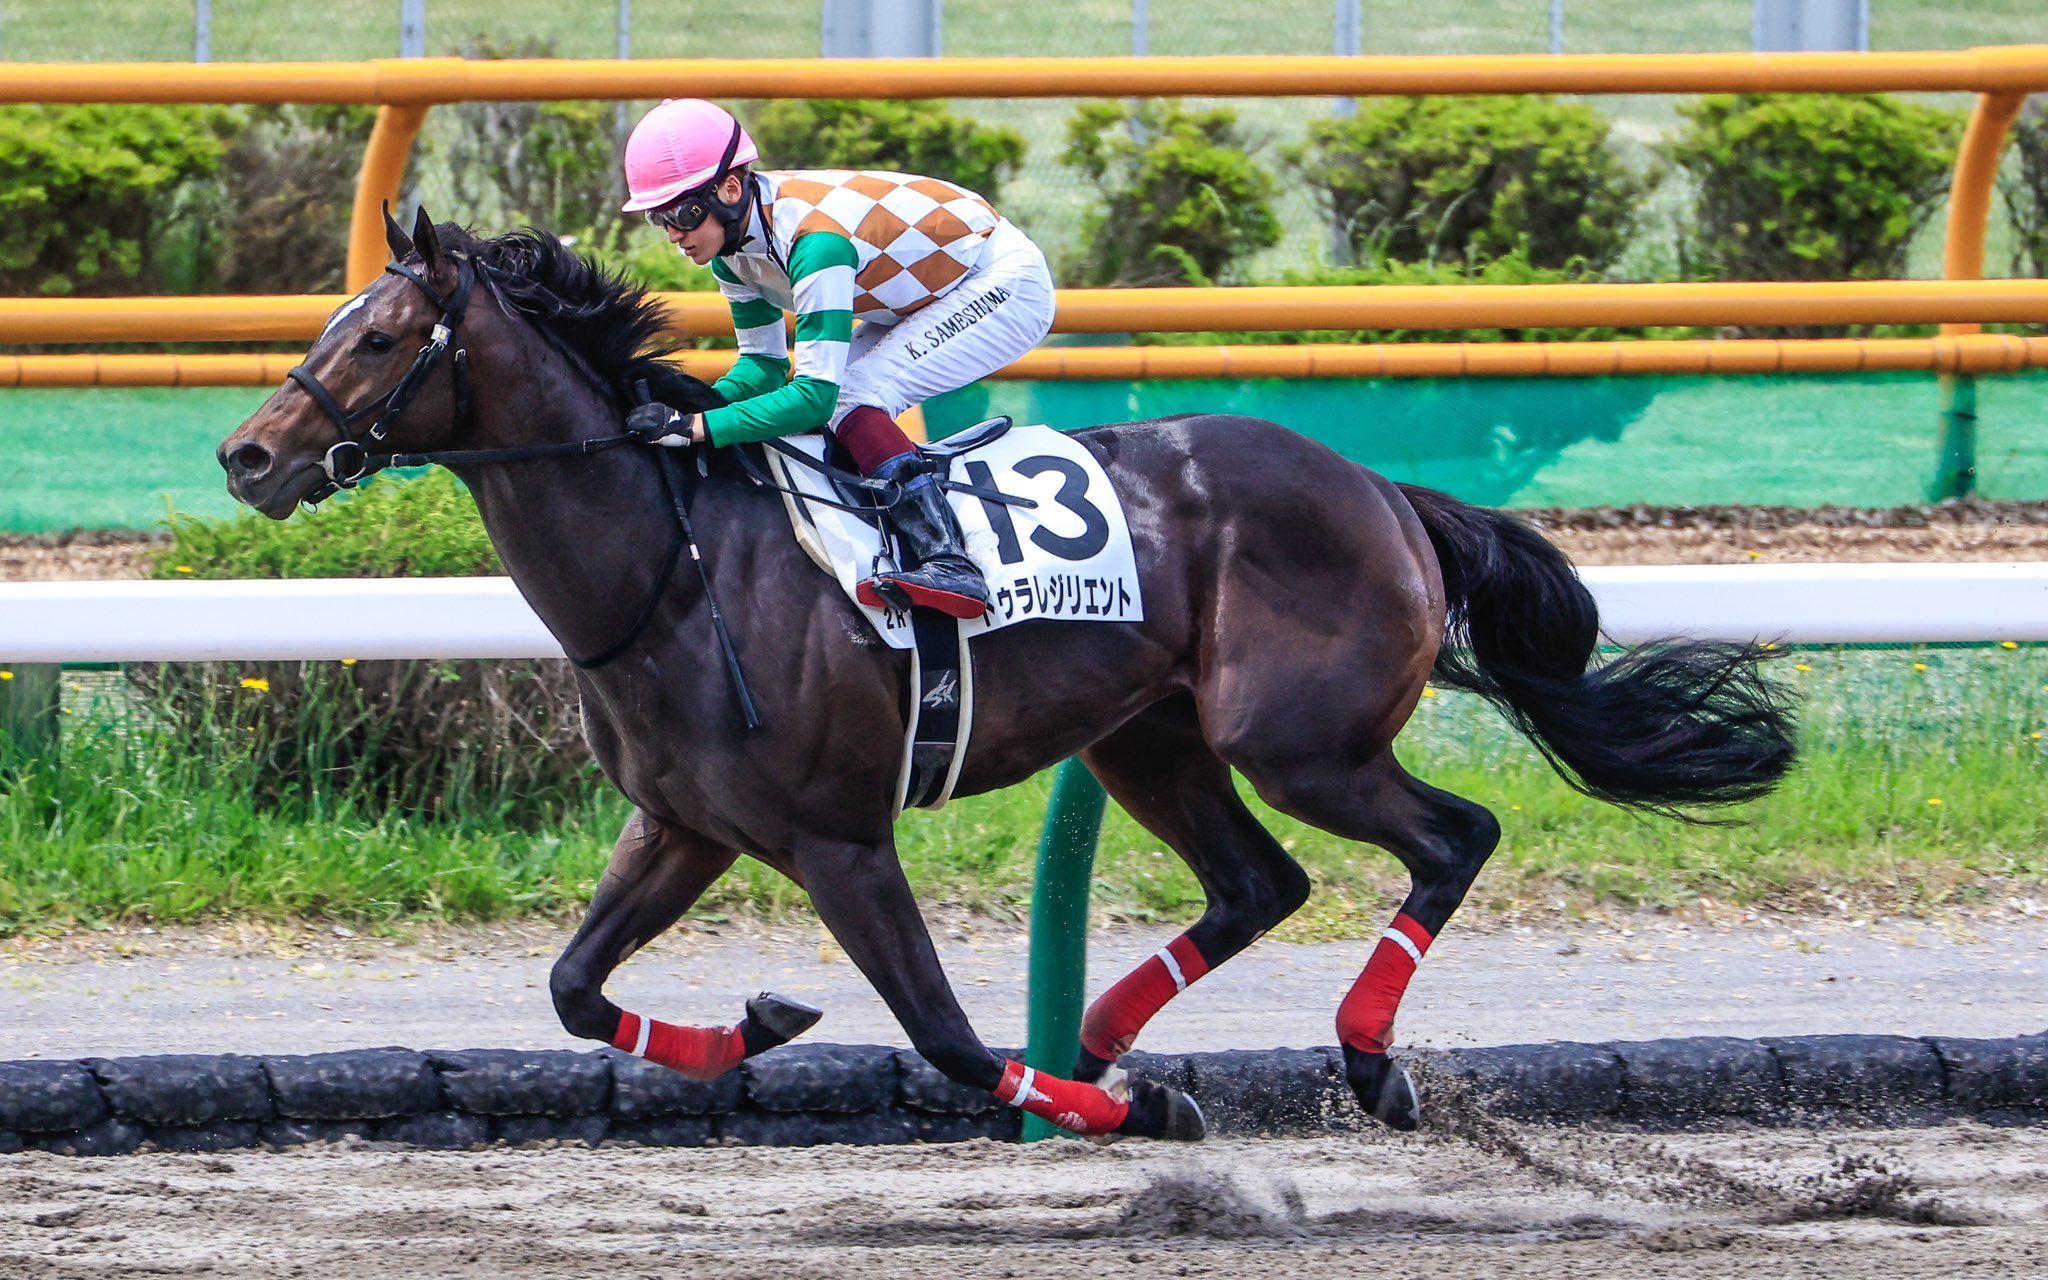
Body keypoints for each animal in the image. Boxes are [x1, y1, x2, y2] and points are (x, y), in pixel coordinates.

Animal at [218, 209, 1797, 1142]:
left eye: (376, 335)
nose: (245, 454)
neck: (678, 569)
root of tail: (1382, 488)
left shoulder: (839, 839)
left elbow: (947, 1035)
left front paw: (1134, 1114)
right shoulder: (680, 827)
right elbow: (570, 988)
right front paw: (759, 1021)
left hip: (1300, 740)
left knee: (1452, 837)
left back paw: (1354, 1059)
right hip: (1148, 738)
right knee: (1258, 884)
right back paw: (1102, 1038)